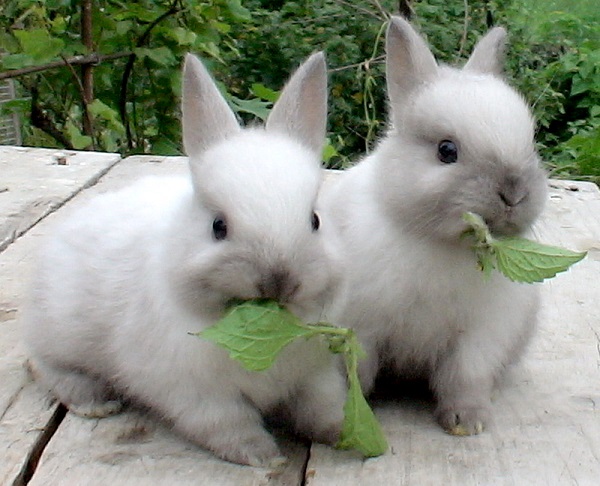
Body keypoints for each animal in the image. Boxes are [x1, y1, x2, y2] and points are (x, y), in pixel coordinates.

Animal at [23, 52, 346, 468]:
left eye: (315, 220)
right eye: (218, 226)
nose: (278, 281)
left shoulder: (314, 375)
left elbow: (323, 407)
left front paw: (342, 434)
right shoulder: (198, 394)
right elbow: (230, 426)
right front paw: (265, 458)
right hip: (58, 334)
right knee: (42, 365)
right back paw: (95, 403)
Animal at [322, 18, 548, 436]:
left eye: (531, 143)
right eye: (446, 151)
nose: (514, 193)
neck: (442, 244)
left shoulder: (480, 338)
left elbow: (465, 378)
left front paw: (467, 423)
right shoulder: (363, 328)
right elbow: (358, 373)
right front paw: (356, 417)